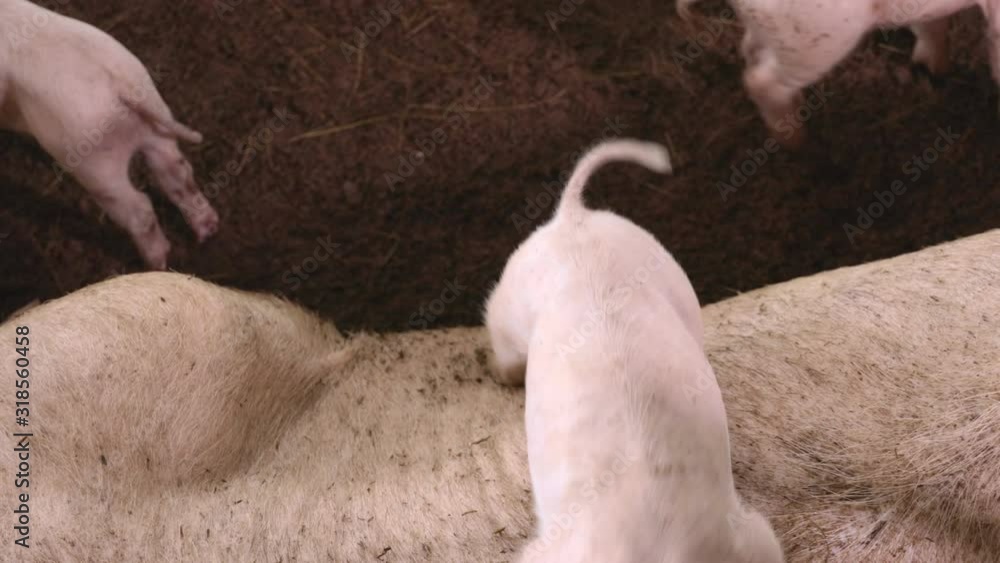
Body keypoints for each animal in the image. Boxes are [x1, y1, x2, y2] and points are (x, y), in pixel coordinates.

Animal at [0, 0, 219, 268]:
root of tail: (121, 85)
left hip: (95, 163)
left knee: (140, 209)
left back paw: (155, 264)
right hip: (156, 125)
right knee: (179, 173)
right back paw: (207, 230)